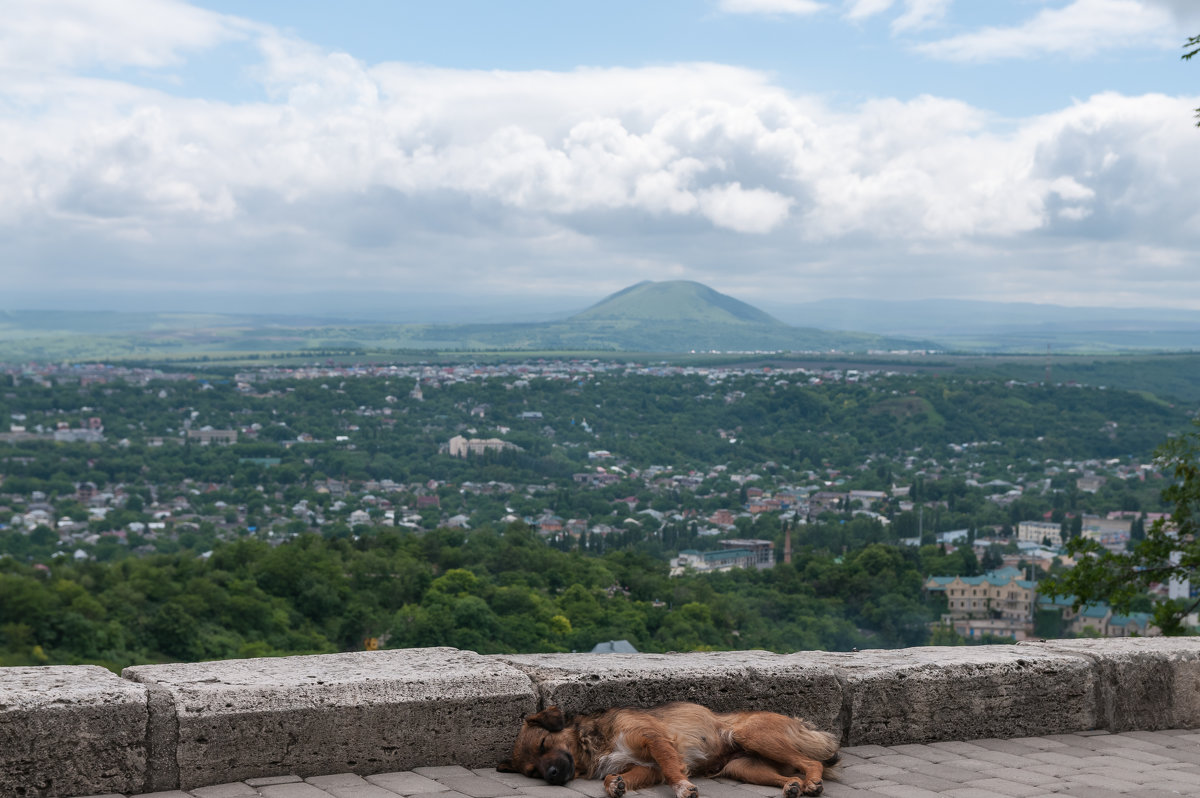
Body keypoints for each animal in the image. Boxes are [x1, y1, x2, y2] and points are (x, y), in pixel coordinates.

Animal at [492, 705, 840, 796]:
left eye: (543, 744)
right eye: (532, 772)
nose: (551, 774)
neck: (594, 744)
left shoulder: (655, 740)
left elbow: (673, 769)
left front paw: (684, 787)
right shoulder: (648, 768)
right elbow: (618, 777)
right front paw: (615, 785)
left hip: (751, 735)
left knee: (811, 761)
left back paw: (812, 782)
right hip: (743, 767)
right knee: (788, 774)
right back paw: (793, 786)